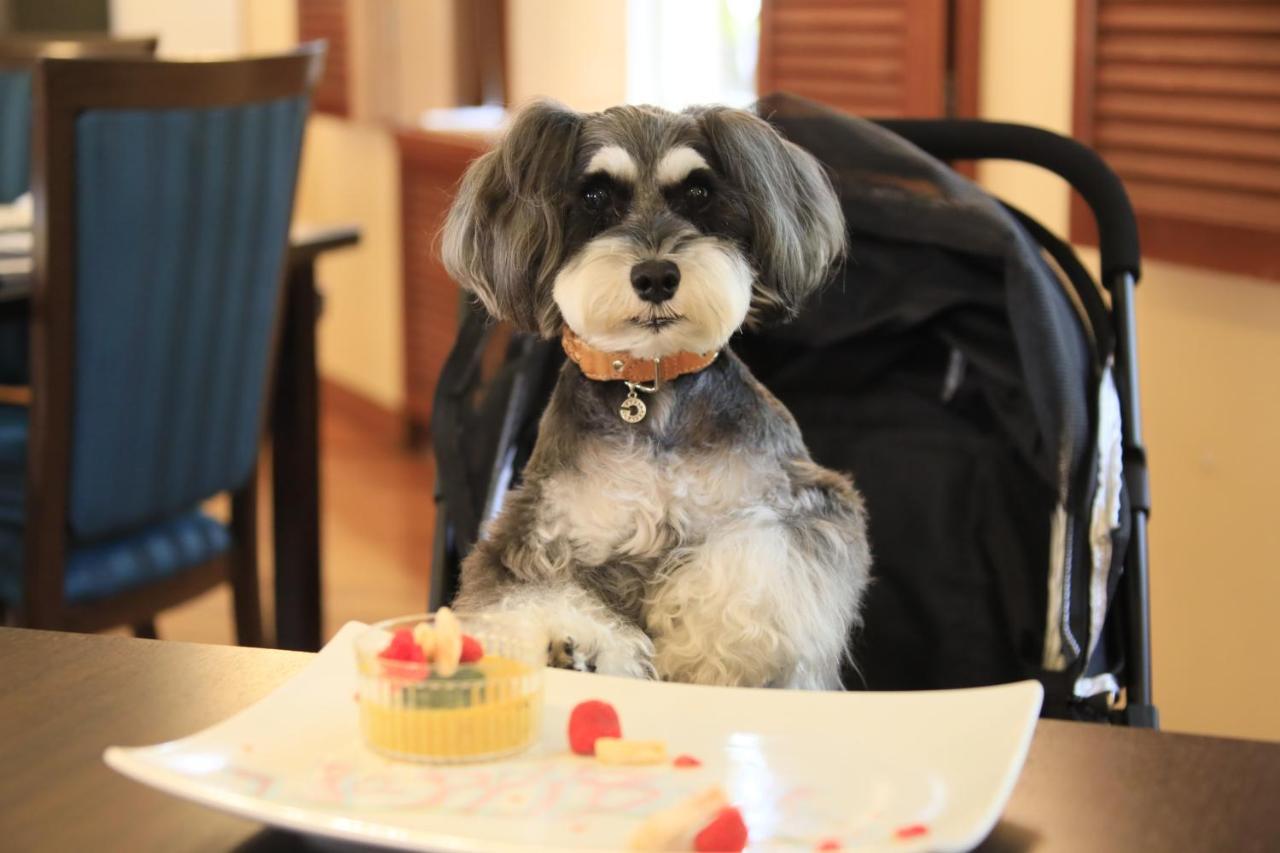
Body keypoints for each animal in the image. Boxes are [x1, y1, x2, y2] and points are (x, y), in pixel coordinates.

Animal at [440, 99, 870, 686]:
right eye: (595, 197)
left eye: (698, 192)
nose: (657, 276)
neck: (651, 387)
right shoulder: (530, 536)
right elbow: (529, 596)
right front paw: (573, 642)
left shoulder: (808, 503)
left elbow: (754, 563)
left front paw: (706, 647)